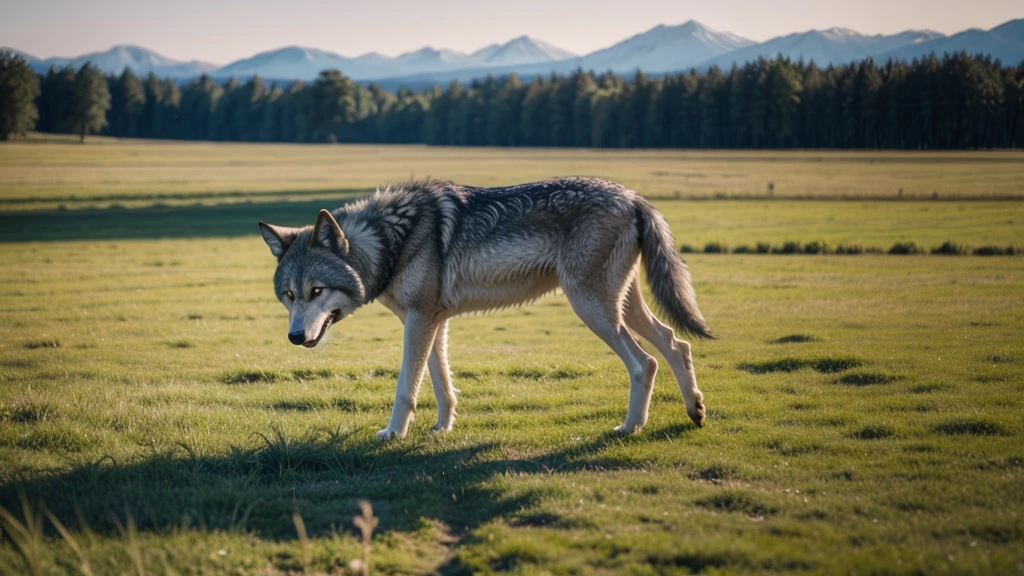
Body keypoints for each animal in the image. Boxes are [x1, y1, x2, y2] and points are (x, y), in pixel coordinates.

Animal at [258, 177, 712, 436]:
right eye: (290, 295)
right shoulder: (432, 321)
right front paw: (442, 429)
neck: (392, 241)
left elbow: (406, 387)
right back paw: (694, 411)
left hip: (592, 309)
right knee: (677, 344)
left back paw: (630, 428)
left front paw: (392, 434)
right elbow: (440, 384)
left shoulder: (420, 321)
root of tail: (634, 197)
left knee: (645, 362)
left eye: (317, 290)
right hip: (621, 306)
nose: (294, 337)